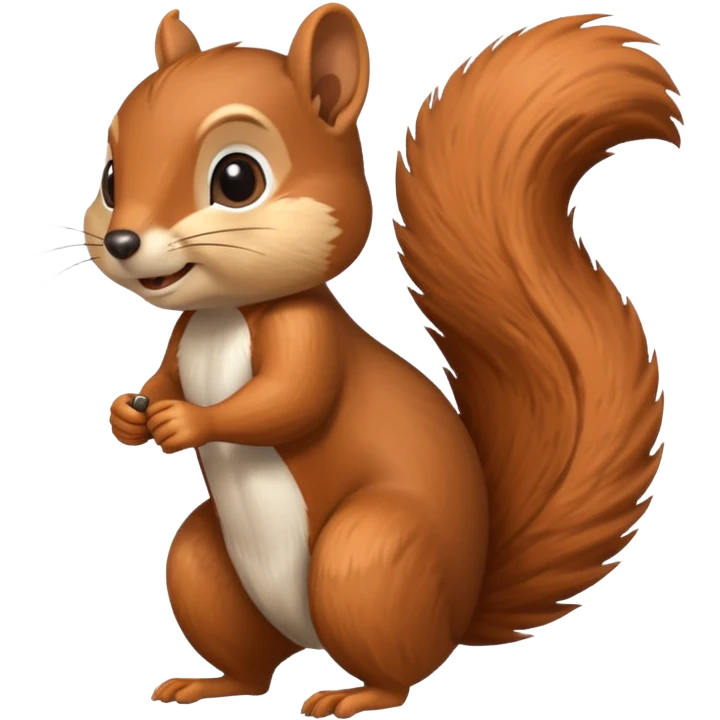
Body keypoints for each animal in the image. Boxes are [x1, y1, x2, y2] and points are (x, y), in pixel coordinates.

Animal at [87, 6, 681, 717]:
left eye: (237, 180)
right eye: (110, 178)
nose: (122, 241)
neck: (228, 312)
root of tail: (459, 613)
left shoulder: (305, 335)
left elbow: (290, 401)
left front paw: (185, 422)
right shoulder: (183, 342)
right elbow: (167, 375)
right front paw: (126, 415)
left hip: (368, 556)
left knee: (395, 670)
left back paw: (354, 695)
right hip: (205, 569)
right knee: (253, 669)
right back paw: (210, 683)